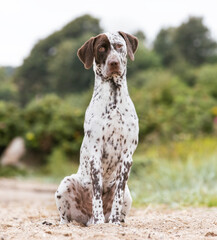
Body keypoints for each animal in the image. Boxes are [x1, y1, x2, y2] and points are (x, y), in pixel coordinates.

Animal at [55, 31, 139, 225]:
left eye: (119, 46)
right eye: (101, 48)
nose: (113, 62)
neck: (114, 98)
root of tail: (87, 218)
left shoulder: (127, 156)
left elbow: (117, 196)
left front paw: (114, 222)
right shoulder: (95, 153)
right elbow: (97, 192)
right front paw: (100, 221)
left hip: (129, 195)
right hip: (65, 184)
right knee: (66, 218)